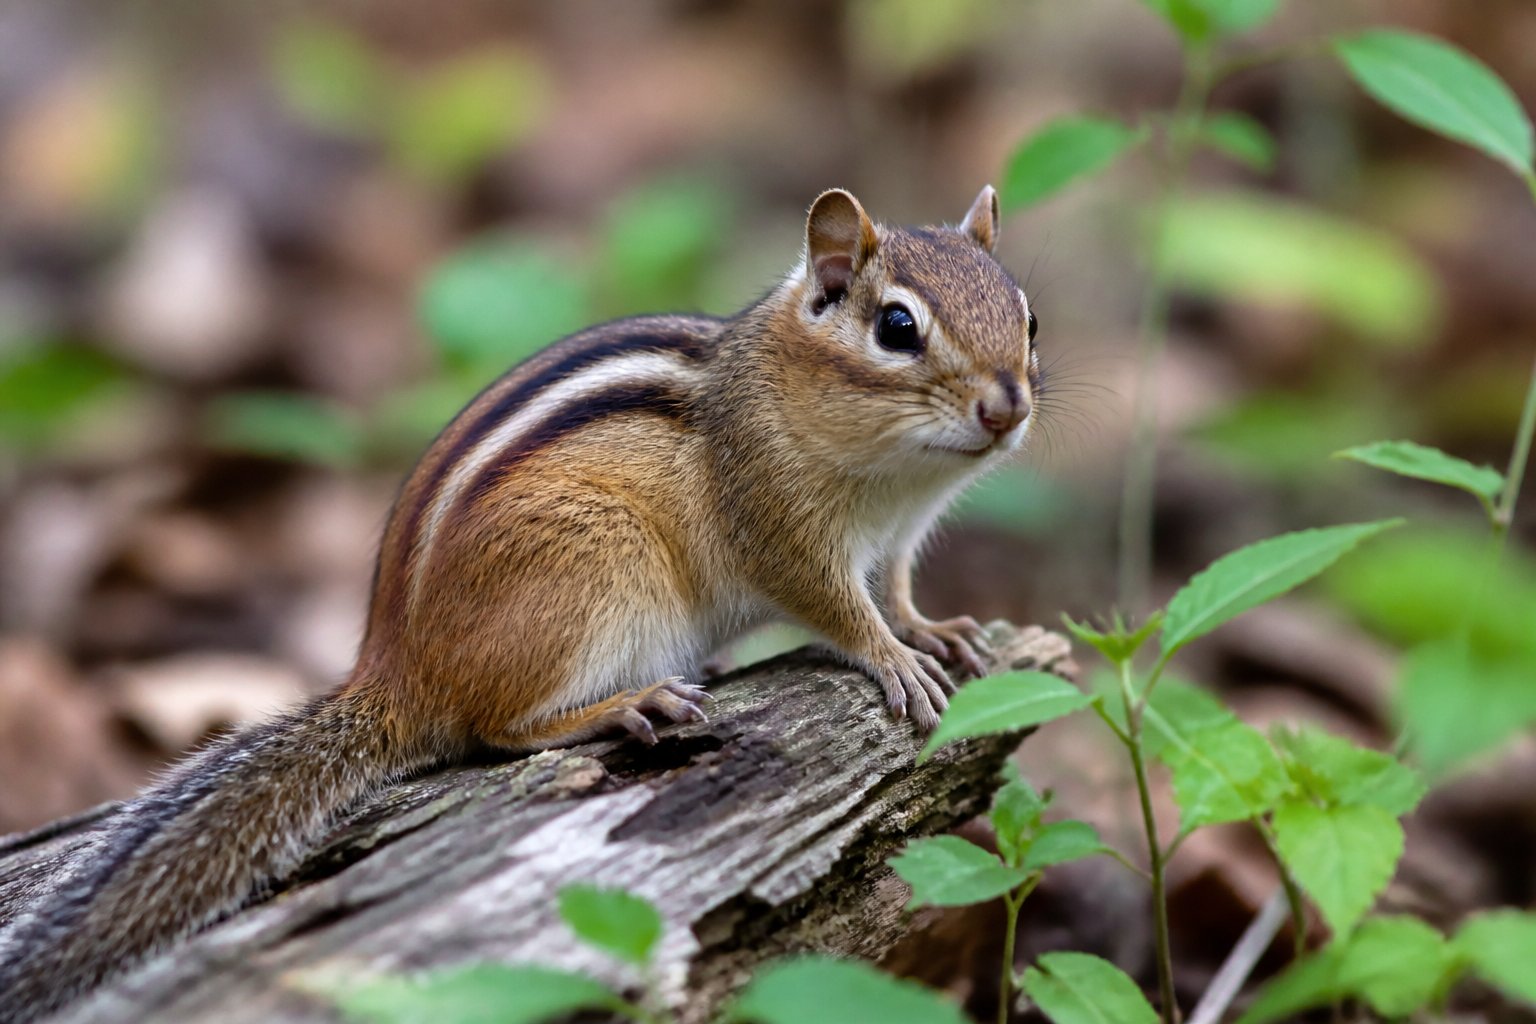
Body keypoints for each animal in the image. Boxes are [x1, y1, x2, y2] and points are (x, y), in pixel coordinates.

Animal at [0, 185, 1041, 1021]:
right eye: (897, 328)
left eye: (1028, 316)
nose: (1009, 407)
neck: (889, 475)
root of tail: (397, 672)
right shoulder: (777, 525)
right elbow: (836, 606)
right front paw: (893, 660)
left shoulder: (898, 537)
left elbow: (896, 589)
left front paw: (937, 631)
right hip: (597, 571)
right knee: (495, 729)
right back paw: (626, 703)